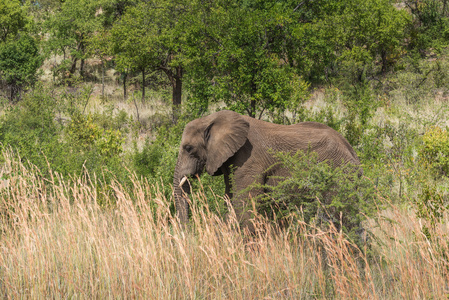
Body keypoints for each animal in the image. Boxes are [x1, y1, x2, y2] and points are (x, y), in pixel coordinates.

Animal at [172, 109, 360, 230]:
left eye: (188, 148)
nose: (188, 231)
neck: (211, 119)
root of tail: (354, 153)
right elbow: (230, 197)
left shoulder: (248, 160)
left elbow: (244, 203)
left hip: (339, 173)